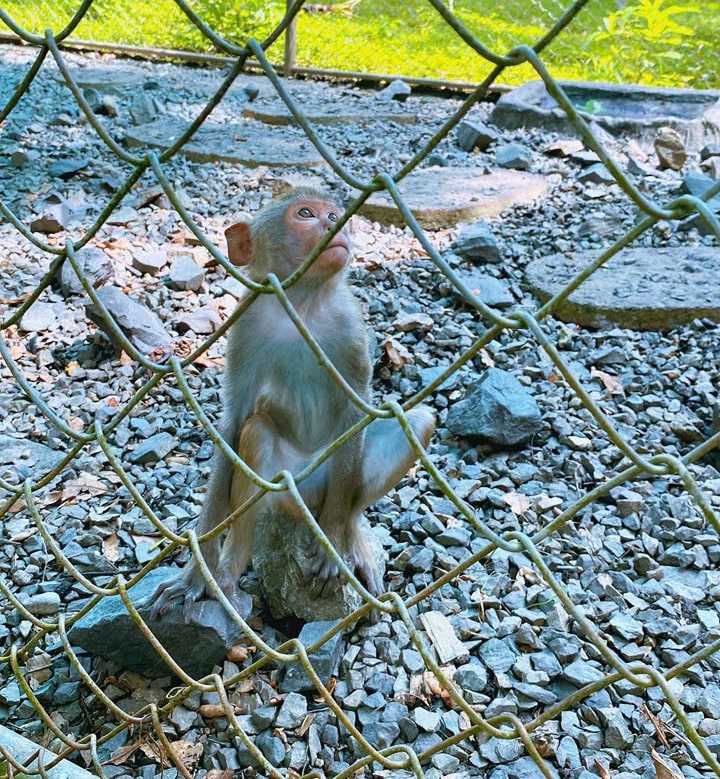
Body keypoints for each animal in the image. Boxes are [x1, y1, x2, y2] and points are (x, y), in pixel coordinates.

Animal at [147, 187, 435, 619]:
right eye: (305, 214)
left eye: (333, 213)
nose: (334, 225)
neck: (301, 302)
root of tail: (305, 504)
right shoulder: (245, 324)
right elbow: (235, 421)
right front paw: (198, 575)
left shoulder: (351, 328)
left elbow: (358, 412)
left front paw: (333, 543)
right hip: (284, 489)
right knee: (257, 432)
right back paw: (230, 572)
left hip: (327, 483)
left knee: (413, 426)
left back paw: (349, 534)